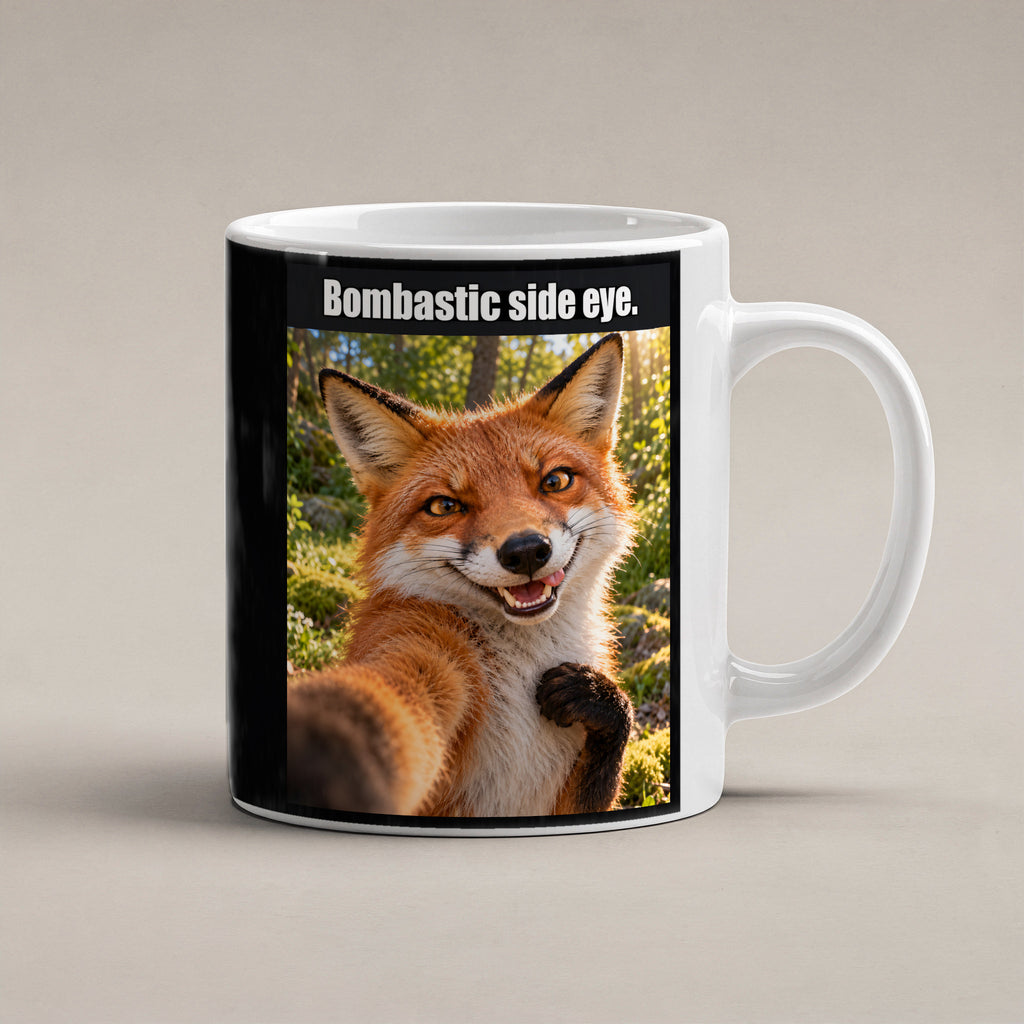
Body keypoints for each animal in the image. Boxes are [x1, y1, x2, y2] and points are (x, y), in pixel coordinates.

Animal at [286, 332, 638, 817]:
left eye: (555, 481)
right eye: (444, 506)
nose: (526, 551)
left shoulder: (569, 807)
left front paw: (599, 697)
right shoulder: (419, 642)